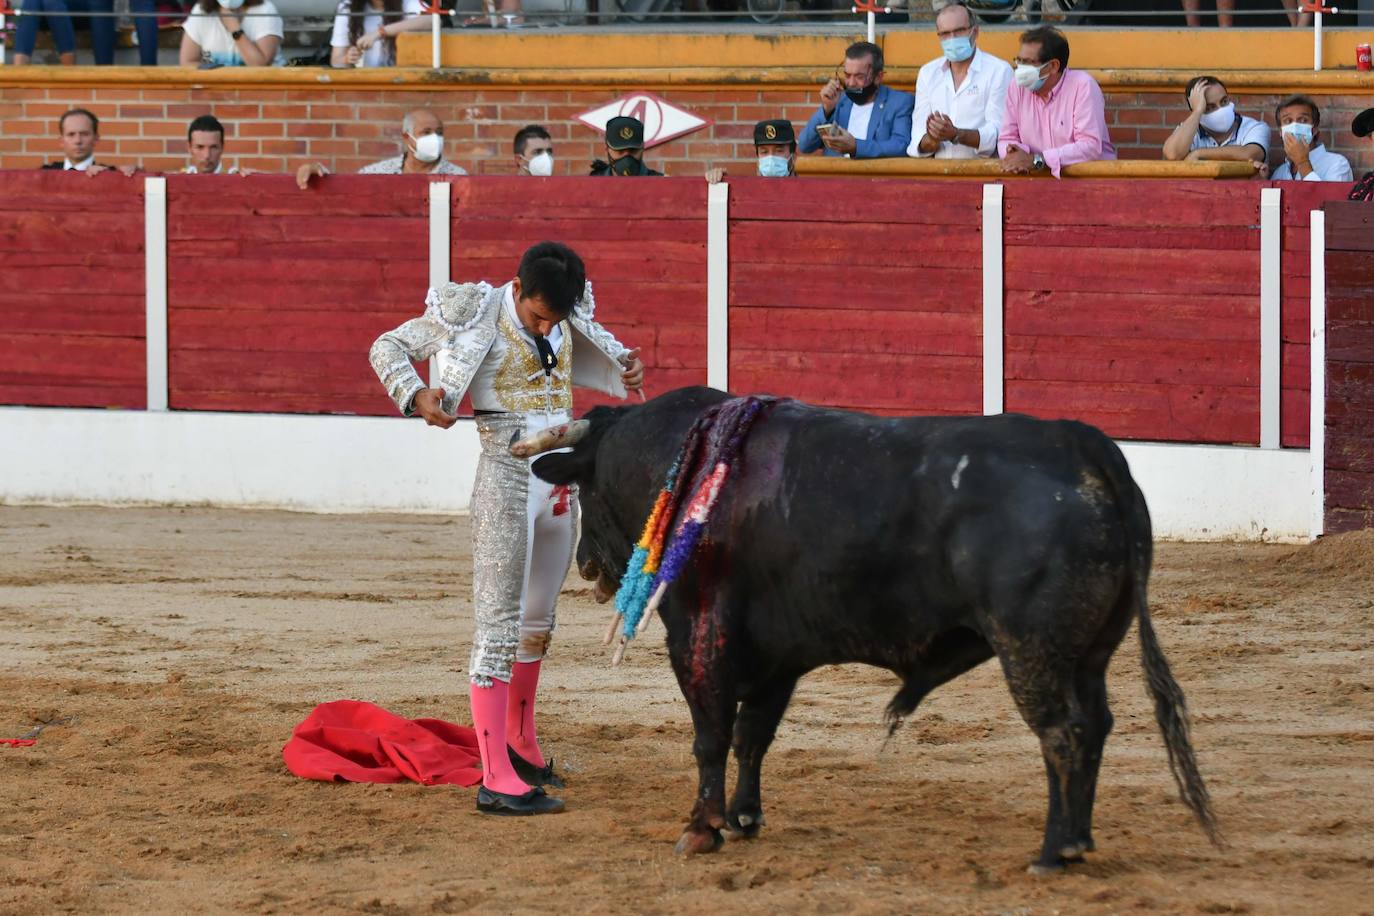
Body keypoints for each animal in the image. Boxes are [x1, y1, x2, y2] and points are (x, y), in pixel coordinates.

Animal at [516, 387, 1214, 873]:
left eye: (583, 486)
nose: (587, 565)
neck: (687, 461)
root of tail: (1084, 445)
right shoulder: (776, 656)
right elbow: (752, 736)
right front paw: (744, 817)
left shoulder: (696, 634)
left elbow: (711, 736)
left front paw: (701, 827)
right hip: (1089, 653)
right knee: (1095, 724)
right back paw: (1081, 839)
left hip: (1030, 649)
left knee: (1061, 733)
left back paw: (1052, 851)